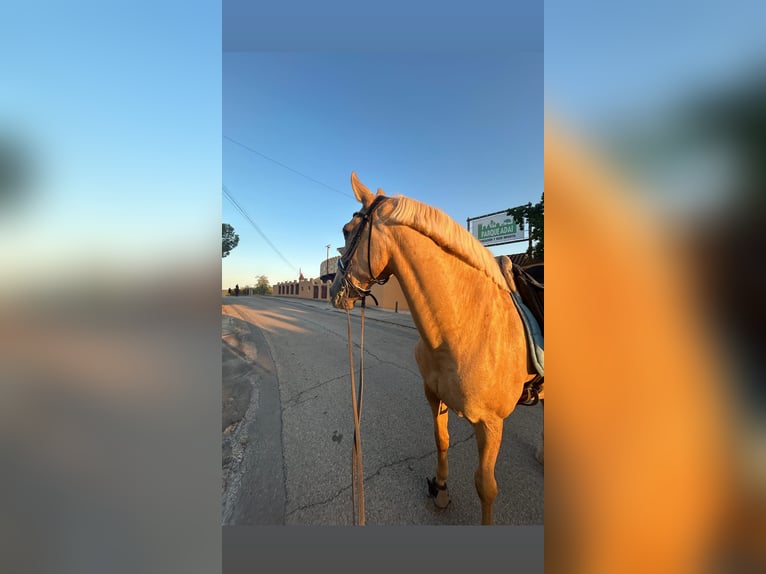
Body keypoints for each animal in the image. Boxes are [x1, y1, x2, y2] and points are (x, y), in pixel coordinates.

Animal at [330, 172, 543, 525]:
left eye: (348, 231)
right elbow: (441, 440)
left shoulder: (491, 424)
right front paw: (441, 489)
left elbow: (486, 487)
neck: (464, 328)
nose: (334, 290)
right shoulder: (433, 395)